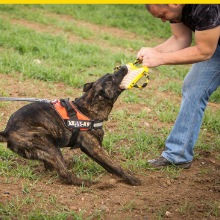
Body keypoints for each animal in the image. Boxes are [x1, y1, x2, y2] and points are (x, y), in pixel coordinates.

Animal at [0, 66, 141, 186]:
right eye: (112, 78)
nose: (123, 66)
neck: (86, 108)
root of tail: (7, 132)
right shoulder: (95, 149)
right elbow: (115, 165)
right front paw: (131, 178)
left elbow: (110, 167)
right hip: (48, 142)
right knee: (65, 176)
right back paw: (90, 183)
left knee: (52, 168)